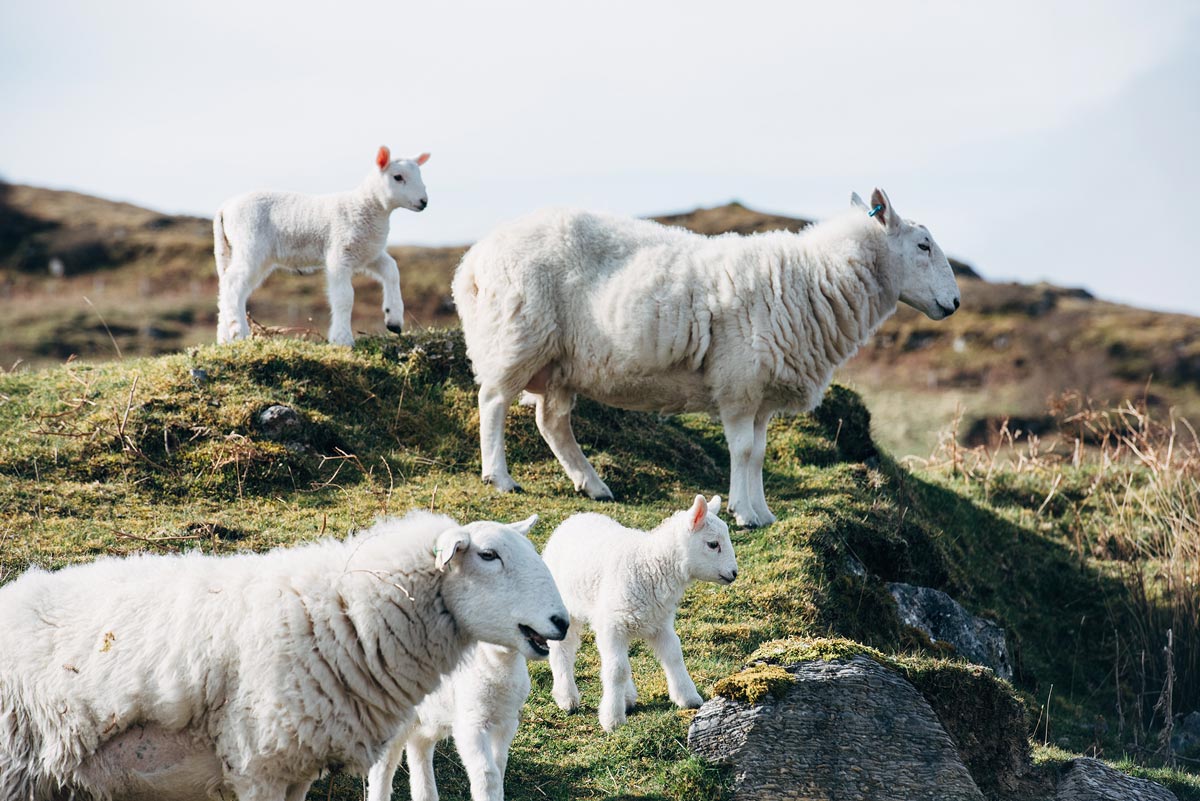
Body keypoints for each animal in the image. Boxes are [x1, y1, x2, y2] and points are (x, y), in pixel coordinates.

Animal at [216, 145, 432, 345]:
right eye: (398, 177)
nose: (424, 201)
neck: (365, 206)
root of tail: (224, 208)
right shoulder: (340, 253)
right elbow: (344, 297)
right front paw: (342, 339)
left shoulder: (368, 251)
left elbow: (392, 270)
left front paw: (393, 319)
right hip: (251, 244)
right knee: (233, 284)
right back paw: (239, 333)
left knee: (226, 287)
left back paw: (225, 338)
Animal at [364, 642, 530, 801]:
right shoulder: (471, 725)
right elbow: (487, 774)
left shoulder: (507, 723)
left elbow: (499, 767)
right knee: (384, 764)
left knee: (418, 745)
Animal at [453, 188, 960, 525]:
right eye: (923, 245)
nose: (954, 303)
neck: (811, 279)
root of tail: (473, 261)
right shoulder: (739, 383)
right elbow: (742, 450)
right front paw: (745, 514)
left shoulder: (762, 395)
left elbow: (758, 453)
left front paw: (761, 511)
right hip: (517, 335)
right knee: (494, 402)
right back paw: (499, 477)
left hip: (560, 362)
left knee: (552, 422)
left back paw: (593, 486)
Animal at [542, 494, 729, 733]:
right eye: (713, 544)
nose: (734, 573)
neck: (651, 565)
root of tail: (574, 518)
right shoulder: (613, 626)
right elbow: (617, 670)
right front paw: (612, 719)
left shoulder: (660, 623)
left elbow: (674, 656)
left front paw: (688, 697)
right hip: (566, 605)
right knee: (563, 649)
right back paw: (567, 697)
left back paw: (627, 697)